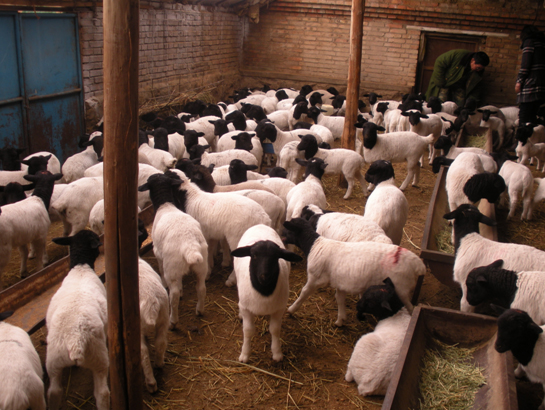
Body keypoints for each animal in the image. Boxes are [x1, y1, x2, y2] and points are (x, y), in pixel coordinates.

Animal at [45, 230, 109, 410]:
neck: (80, 267)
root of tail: (75, 341)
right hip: (99, 359)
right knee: (102, 394)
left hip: (53, 363)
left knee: (54, 392)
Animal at [138, 173, 208, 328]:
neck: (165, 205)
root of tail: (190, 246)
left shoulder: (158, 254)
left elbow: (161, 271)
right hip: (201, 265)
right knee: (201, 288)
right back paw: (199, 310)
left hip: (172, 267)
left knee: (174, 295)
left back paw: (173, 321)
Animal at [230, 224, 302, 362]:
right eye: (254, 255)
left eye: (276, 257)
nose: (264, 276)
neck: (263, 291)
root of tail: (260, 225)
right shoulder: (247, 308)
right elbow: (248, 331)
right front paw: (244, 355)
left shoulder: (279, 308)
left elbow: (275, 330)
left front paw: (277, 353)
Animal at [282, 218, 425, 326]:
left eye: (289, 230)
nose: (281, 236)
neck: (314, 245)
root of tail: (417, 264)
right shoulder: (340, 283)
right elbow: (340, 299)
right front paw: (341, 320)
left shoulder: (314, 278)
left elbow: (304, 293)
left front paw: (291, 309)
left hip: (401, 289)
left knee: (410, 308)